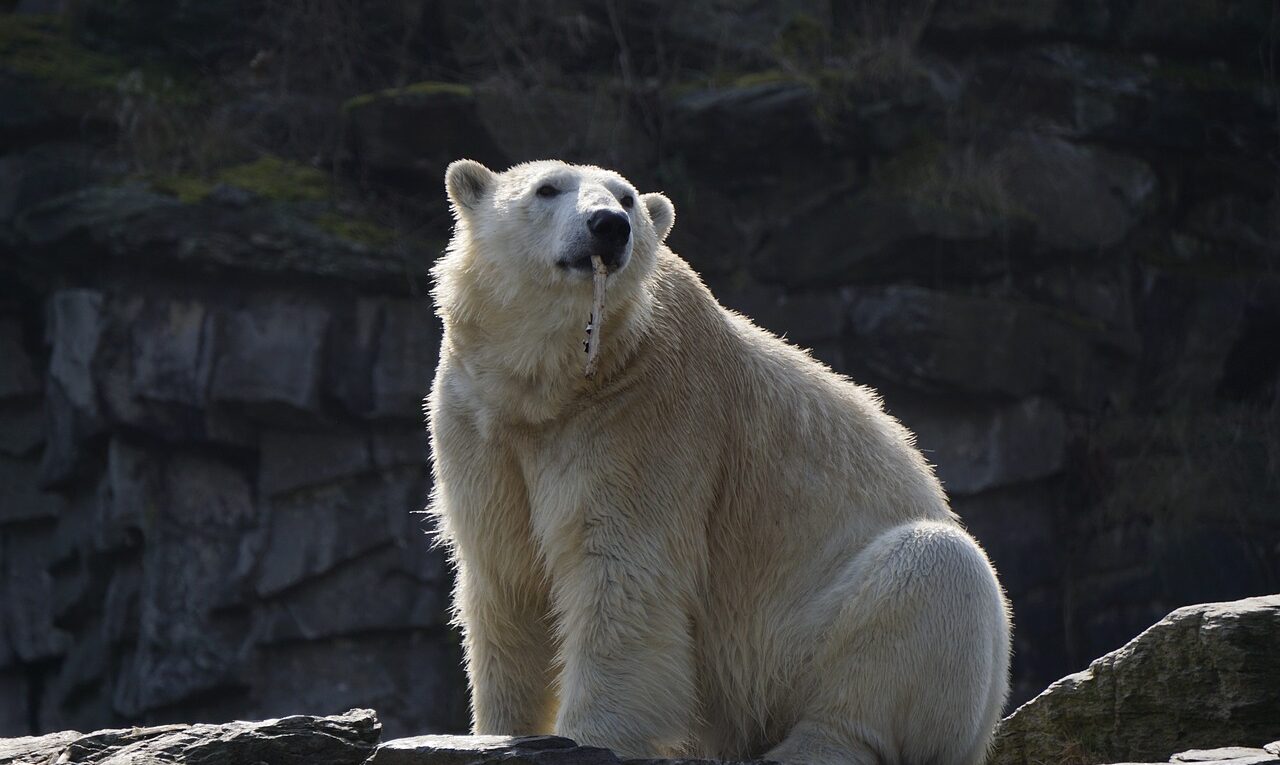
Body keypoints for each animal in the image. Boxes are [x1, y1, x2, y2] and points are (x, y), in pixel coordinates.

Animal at [427, 157, 1008, 765]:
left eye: (627, 198)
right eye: (547, 188)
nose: (609, 226)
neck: (555, 386)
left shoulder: (647, 412)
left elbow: (620, 571)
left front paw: (593, 737)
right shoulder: (479, 420)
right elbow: (505, 575)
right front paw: (498, 730)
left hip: (803, 637)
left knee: (935, 572)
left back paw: (810, 745)